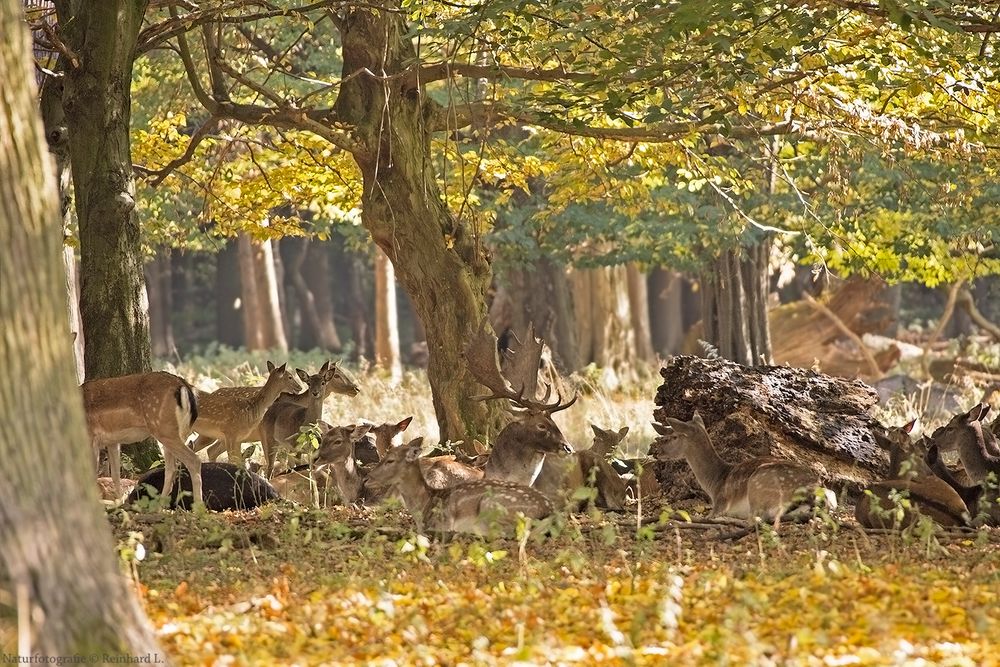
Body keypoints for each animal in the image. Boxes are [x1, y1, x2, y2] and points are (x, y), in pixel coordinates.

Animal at [82, 370, 201, 506]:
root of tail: (184, 386)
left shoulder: (90, 436)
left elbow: (92, 474)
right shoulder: (113, 441)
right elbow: (115, 475)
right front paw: (120, 503)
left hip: (164, 429)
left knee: (193, 460)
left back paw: (198, 506)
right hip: (176, 432)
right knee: (172, 468)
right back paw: (159, 506)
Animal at [644, 410, 832, 524]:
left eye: (675, 436)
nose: (658, 452)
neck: (716, 483)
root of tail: (810, 493)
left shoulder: (720, 503)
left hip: (759, 485)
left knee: (756, 518)